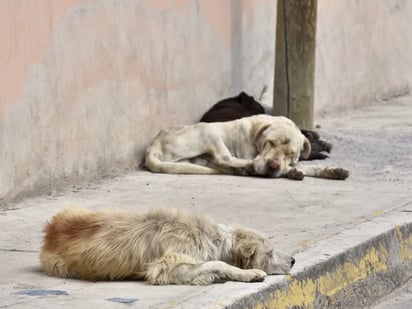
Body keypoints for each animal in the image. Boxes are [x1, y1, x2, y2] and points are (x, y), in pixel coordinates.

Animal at [40, 207, 294, 284]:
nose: (293, 260)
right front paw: (249, 273)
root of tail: (50, 232)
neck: (212, 238)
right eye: (270, 252)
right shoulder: (167, 267)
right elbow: (217, 263)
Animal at [145, 114, 348, 179]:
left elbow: (310, 167)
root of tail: (153, 145)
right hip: (208, 130)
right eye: (270, 142)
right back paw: (249, 167)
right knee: (224, 158)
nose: (273, 165)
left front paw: (332, 170)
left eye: (291, 154)